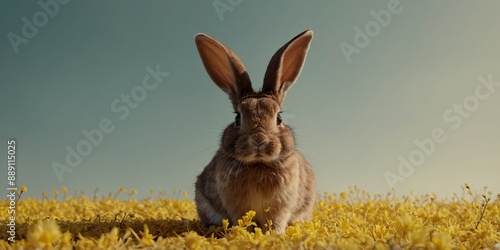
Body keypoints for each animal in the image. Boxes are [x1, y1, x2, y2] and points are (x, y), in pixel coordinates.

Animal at [193, 29, 314, 234]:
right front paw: (245, 233)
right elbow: (242, 218)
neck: (258, 164)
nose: (258, 140)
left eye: (279, 118)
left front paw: (275, 234)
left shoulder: (281, 206)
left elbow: (276, 221)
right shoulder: (236, 205)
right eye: (237, 118)